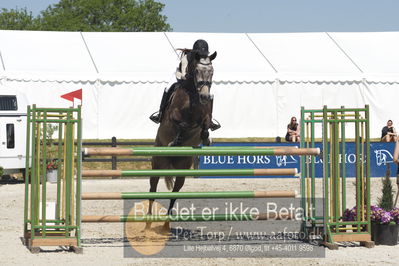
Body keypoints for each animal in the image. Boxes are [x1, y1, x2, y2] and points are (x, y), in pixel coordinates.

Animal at [148, 50, 217, 218]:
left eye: (212, 71)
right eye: (197, 71)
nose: (205, 96)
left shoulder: (204, 115)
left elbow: (205, 125)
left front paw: (207, 138)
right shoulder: (173, 116)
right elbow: (181, 124)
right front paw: (175, 140)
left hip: (182, 169)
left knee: (175, 192)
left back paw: (168, 216)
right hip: (157, 164)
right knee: (152, 190)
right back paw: (148, 215)